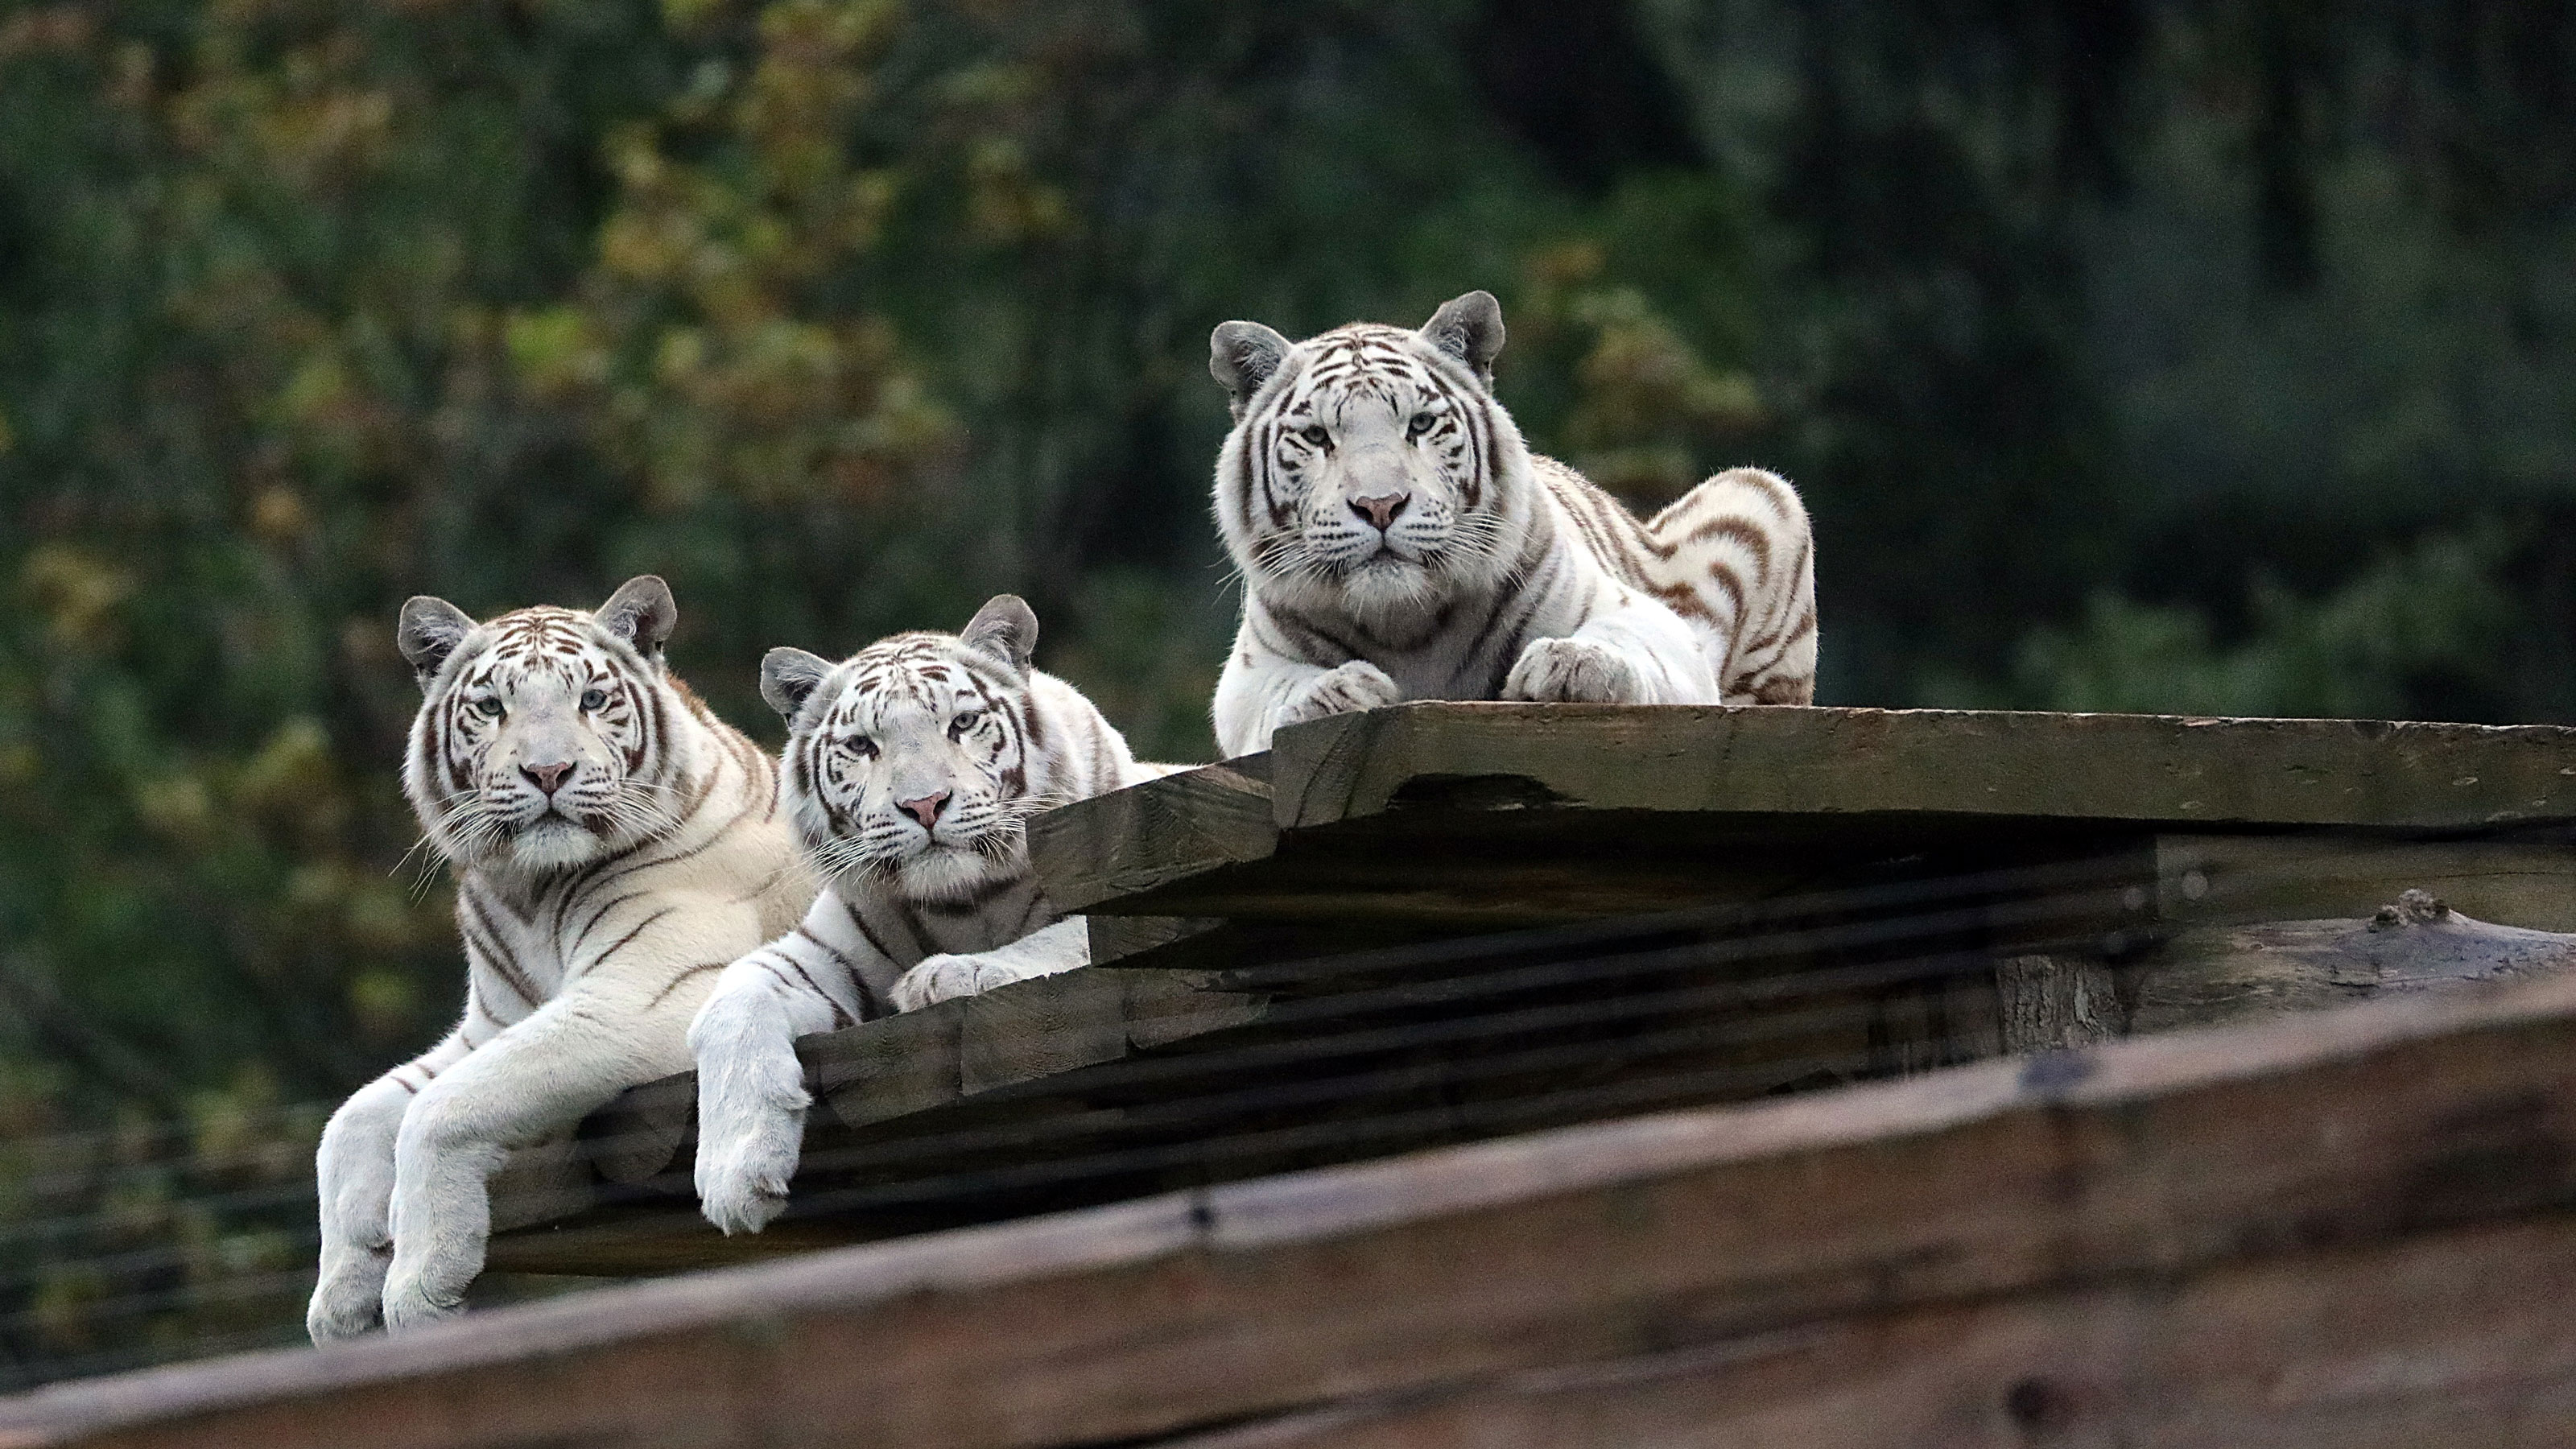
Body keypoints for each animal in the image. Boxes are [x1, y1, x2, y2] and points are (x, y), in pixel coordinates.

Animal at [308, 576, 813, 1341]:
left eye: (593, 700)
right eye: (492, 707)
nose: (548, 771)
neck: (527, 890)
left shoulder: (636, 999)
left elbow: (436, 1108)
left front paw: (419, 1284)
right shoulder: (488, 1027)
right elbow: (354, 1117)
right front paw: (341, 1292)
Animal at [687, 594, 1183, 1236]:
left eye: (962, 724)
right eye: (862, 746)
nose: (923, 804)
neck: (962, 904)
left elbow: (1070, 936)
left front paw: (948, 975)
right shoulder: (821, 950)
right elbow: (734, 998)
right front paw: (735, 1176)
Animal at [1205, 289, 1817, 757]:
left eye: (1420, 425)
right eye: (1316, 437)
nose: (1381, 505)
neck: (1407, 627)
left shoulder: (1642, 617)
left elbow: (1626, 645)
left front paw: (1570, 664)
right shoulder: (1247, 674)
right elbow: (1280, 692)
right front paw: (1337, 692)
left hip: (1762, 493)